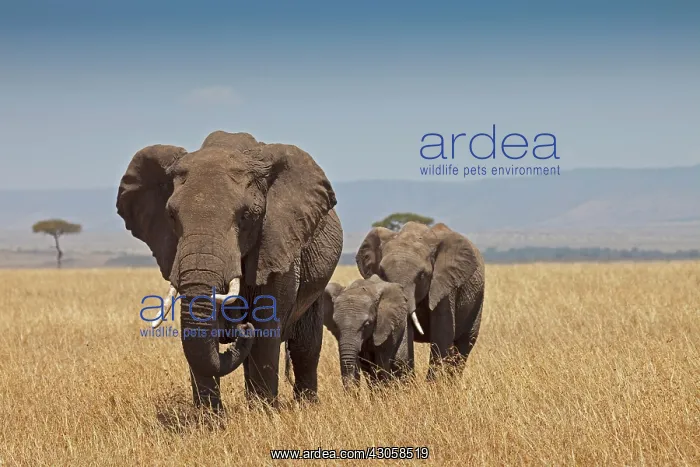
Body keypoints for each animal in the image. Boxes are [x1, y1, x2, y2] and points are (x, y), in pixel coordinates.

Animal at [116, 130, 343, 410]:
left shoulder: (278, 245)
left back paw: (307, 405)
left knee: (305, 347)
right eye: (171, 216)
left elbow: (265, 331)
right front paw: (209, 418)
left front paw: (263, 413)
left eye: (245, 216)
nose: (241, 328)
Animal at [356, 221, 484, 380]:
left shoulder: (445, 285)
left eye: (422, 275)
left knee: (466, 341)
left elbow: (442, 334)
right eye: (382, 274)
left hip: (478, 298)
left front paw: (434, 384)